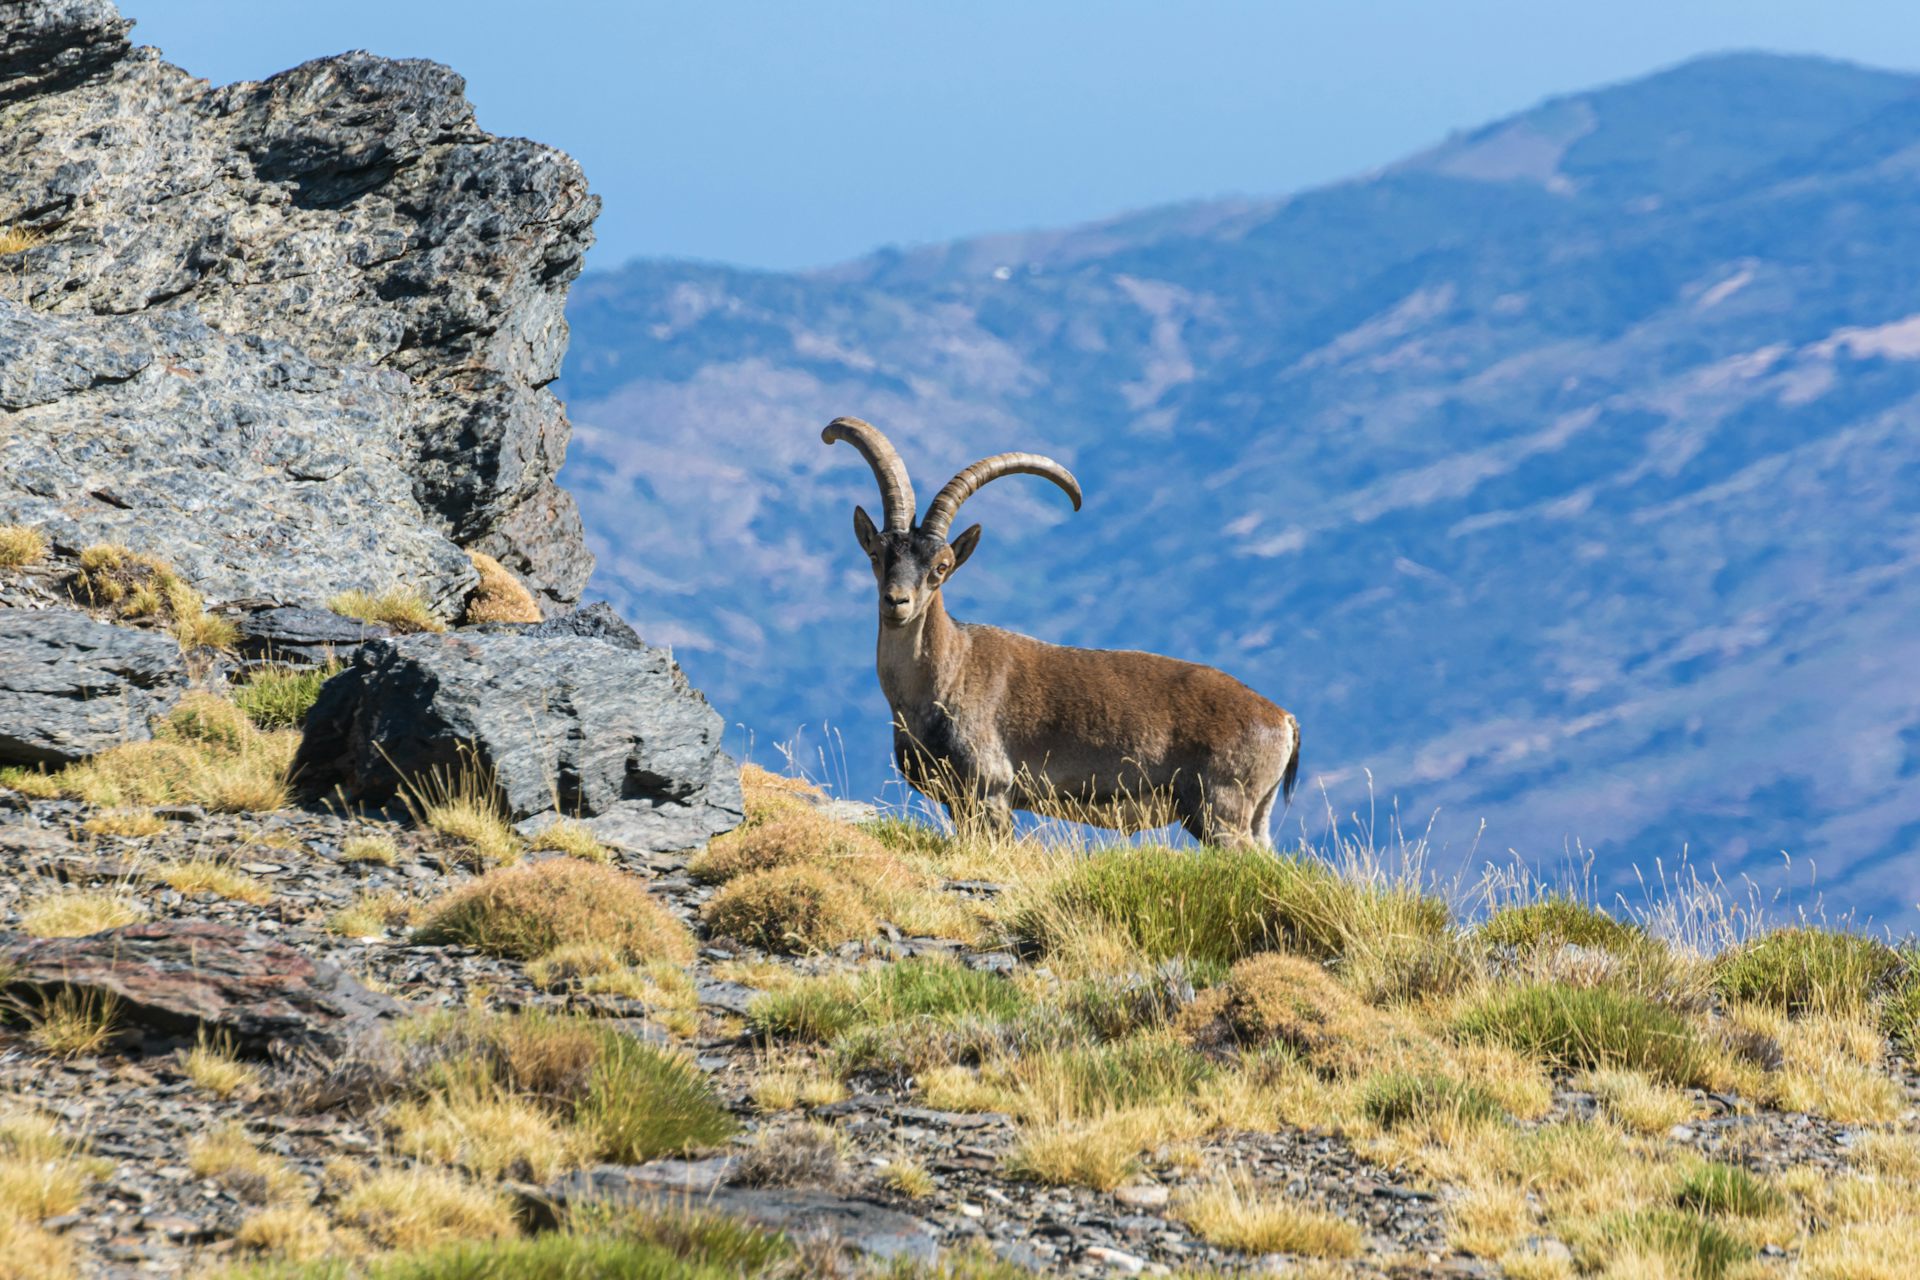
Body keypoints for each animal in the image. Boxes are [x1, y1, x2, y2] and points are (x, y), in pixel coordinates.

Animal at [822, 416, 1301, 847]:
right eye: (877, 553)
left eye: (941, 567)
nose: (897, 602)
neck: (946, 674)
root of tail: (1281, 719)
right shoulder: (960, 802)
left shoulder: (991, 794)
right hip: (1253, 818)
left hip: (1221, 811)